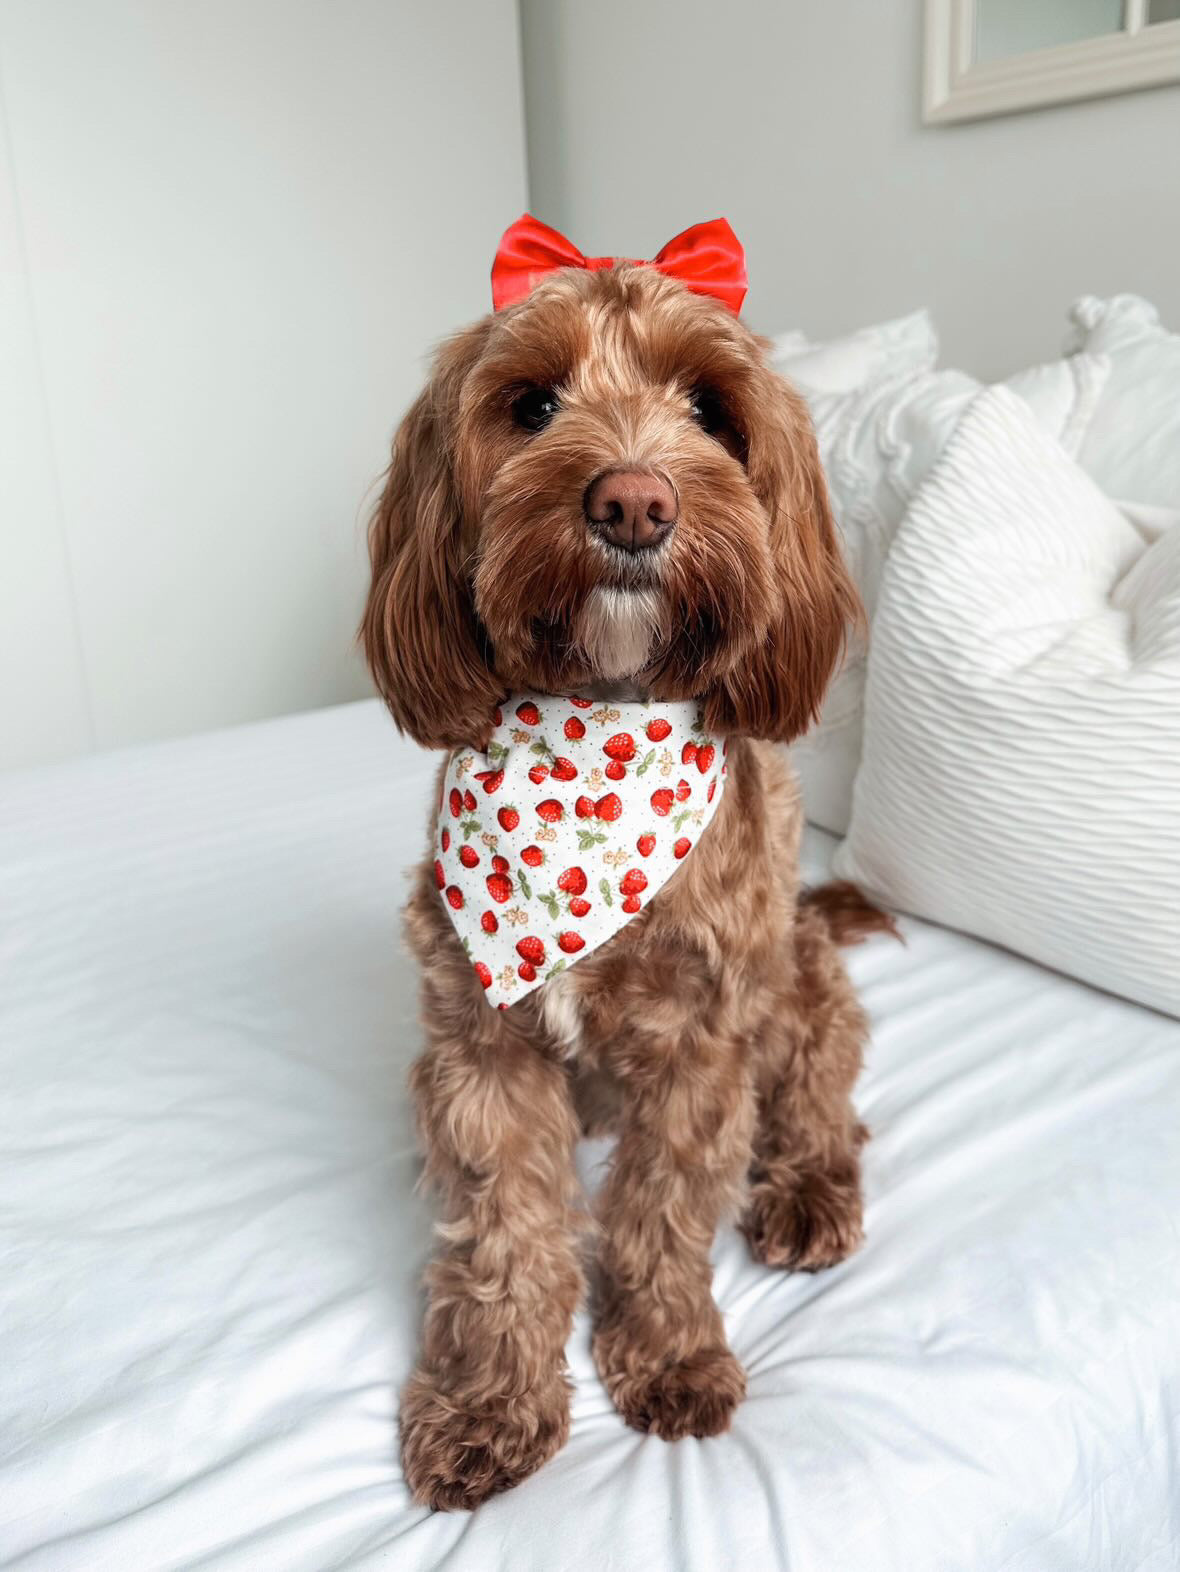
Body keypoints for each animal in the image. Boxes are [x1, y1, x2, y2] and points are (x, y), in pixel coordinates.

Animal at [364, 224, 892, 1509]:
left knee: (822, 1100)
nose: (633, 502)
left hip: (799, 983)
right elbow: (503, 1233)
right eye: (529, 405)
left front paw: (670, 1356)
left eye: (710, 409)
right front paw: (486, 1404)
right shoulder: (481, 1051)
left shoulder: (700, 1049)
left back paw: (809, 1188)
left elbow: (661, 1214)